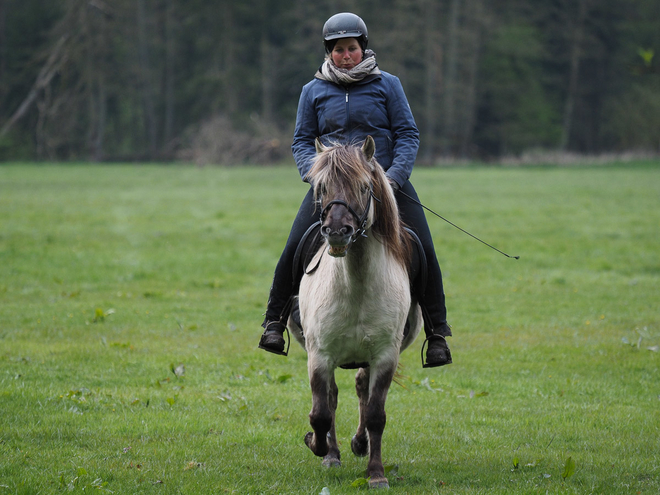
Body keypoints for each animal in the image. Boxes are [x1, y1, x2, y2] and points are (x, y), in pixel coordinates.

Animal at [288, 138, 422, 490]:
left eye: (364, 186)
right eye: (321, 186)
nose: (337, 230)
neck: (356, 286)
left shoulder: (385, 356)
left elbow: (376, 414)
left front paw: (376, 474)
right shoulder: (319, 355)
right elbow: (320, 413)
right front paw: (317, 445)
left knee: (362, 387)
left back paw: (359, 444)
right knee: (332, 398)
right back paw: (332, 453)